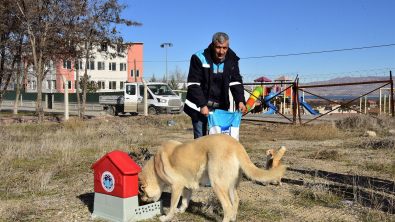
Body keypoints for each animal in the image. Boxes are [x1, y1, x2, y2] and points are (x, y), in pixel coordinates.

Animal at [139, 134, 288, 222]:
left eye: (141, 194)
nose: (141, 205)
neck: (155, 167)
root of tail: (236, 145)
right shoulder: (187, 187)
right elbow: (185, 202)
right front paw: (180, 211)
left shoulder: (176, 187)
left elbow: (172, 206)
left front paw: (166, 217)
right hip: (231, 185)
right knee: (235, 201)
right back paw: (233, 218)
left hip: (217, 183)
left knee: (227, 206)